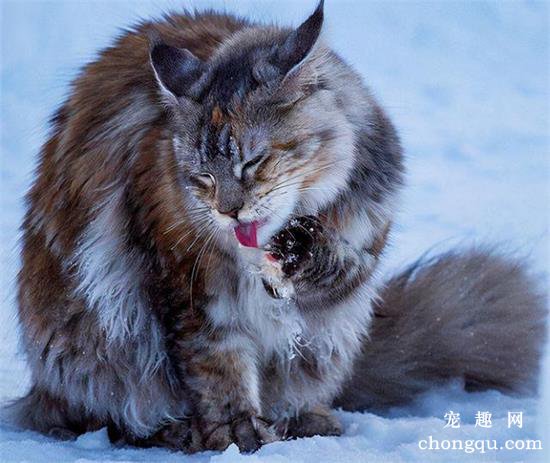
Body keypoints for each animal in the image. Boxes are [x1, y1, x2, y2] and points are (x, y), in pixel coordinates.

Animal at [8, 0, 548, 456]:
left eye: (253, 162)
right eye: (202, 177)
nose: (228, 211)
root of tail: (38, 390)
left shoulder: (364, 240)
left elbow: (335, 266)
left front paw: (302, 254)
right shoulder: (190, 289)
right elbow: (218, 367)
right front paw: (236, 432)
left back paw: (306, 419)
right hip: (94, 344)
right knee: (106, 415)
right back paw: (177, 431)